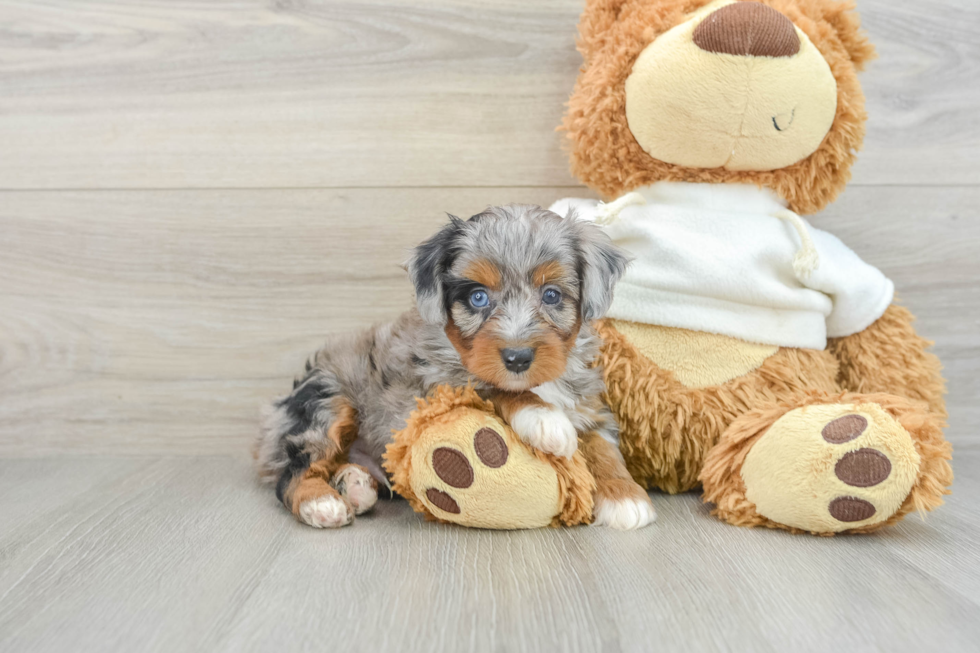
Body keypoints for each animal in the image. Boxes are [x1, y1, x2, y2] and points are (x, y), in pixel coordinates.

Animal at [256, 204, 660, 528]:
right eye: (478, 297)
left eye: (551, 295)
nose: (517, 358)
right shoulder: (437, 387)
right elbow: (495, 388)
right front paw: (543, 418)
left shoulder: (588, 403)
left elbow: (604, 447)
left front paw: (625, 495)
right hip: (325, 402)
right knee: (295, 470)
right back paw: (321, 503)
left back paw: (355, 485)